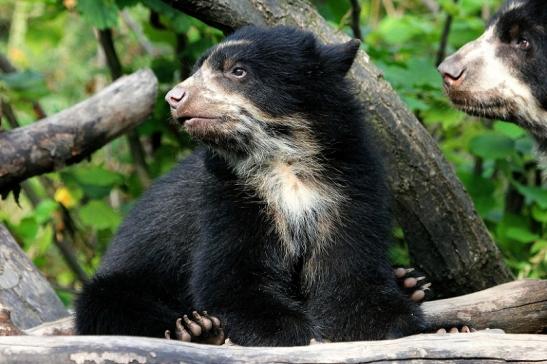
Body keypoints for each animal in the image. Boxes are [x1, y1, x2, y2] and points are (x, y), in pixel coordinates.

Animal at [75, 26, 426, 346]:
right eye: (197, 69)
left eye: (238, 71)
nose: (174, 98)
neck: (283, 159)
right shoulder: (232, 195)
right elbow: (233, 277)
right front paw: (287, 330)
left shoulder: (347, 185)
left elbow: (349, 268)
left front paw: (399, 320)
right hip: (128, 278)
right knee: (109, 303)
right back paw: (195, 330)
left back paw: (409, 282)